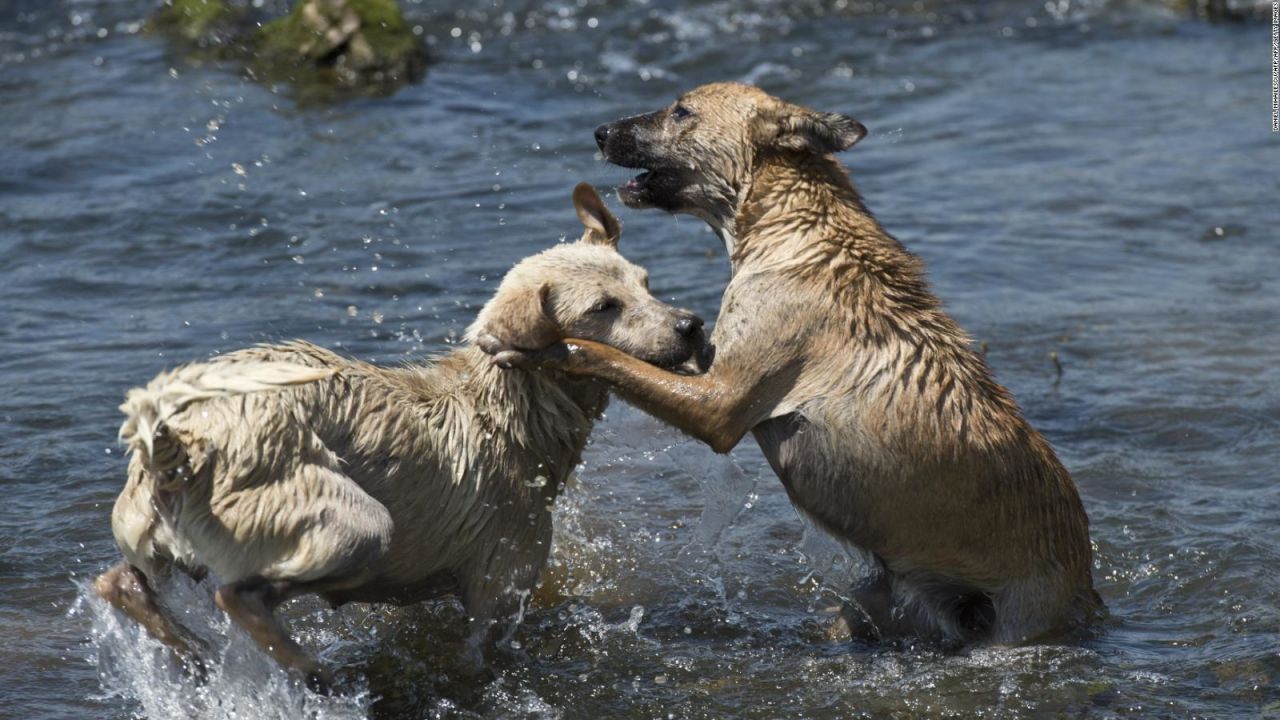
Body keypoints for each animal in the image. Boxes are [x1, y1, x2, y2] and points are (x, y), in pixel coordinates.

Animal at [94, 181, 706, 681]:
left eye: (646, 284)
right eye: (604, 307)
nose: (692, 326)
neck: (509, 414)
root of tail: (180, 441)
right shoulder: (501, 586)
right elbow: (483, 654)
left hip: (155, 530)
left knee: (120, 582)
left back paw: (193, 652)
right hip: (350, 522)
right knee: (238, 596)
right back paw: (309, 671)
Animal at [496, 85, 1100, 645]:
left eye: (681, 111)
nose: (600, 132)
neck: (794, 227)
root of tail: (1087, 587)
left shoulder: (721, 406)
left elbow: (605, 355)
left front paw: (540, 347)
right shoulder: (715, 369)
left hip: (1014, 623)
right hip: (874, 604)